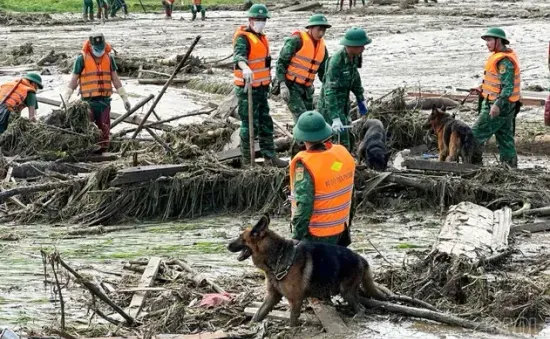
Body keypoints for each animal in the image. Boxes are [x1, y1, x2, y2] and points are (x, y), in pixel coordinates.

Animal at [226, 215, 386, 326]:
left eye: (240, 238)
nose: (227, 246)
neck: (277, 255)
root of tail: (362, 258)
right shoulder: (272, 297)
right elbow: (258, 314)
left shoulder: (295, 300)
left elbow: (292, 321)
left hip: (346, 291)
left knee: (361, 308)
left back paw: (357, 316)